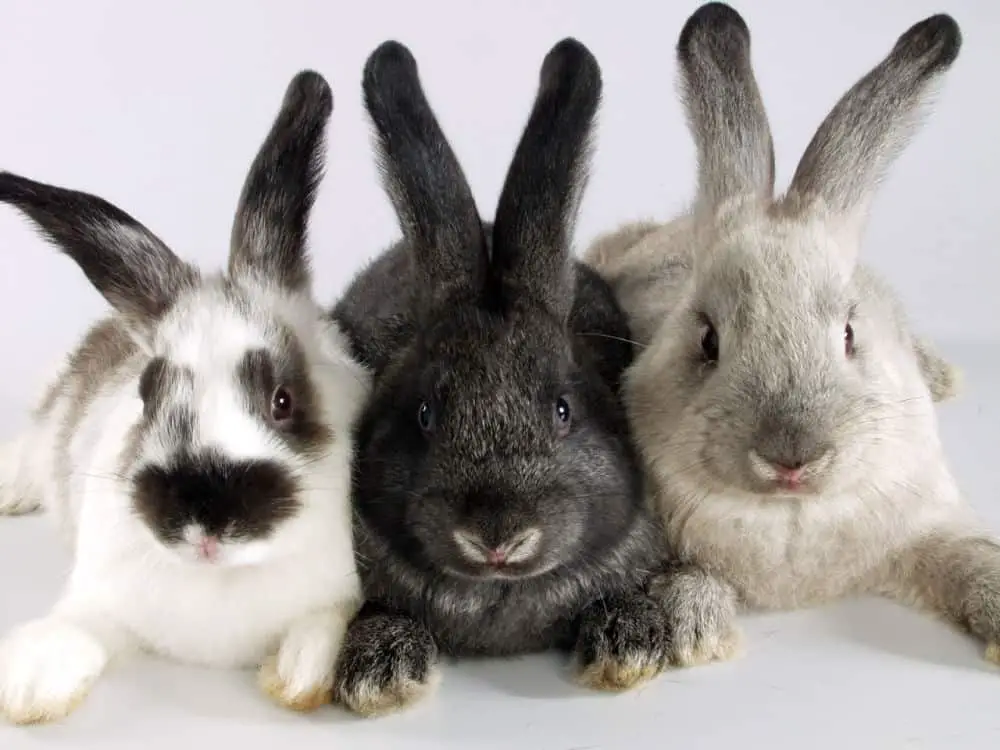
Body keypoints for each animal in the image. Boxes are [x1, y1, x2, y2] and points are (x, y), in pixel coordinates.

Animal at [0, 69, 372, 724]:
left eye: (283, 400)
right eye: (148, 395)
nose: (203, 522)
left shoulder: (343, 594)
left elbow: (322, 627)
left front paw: (299, 673)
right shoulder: (100, 594)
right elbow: (78, 628)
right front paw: (30, 687)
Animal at [584, 1, 1000, 668]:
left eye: (850, 333)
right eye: (708, 341)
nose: (791, 457)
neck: (790, 516)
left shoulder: (927, 519)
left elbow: (968, 557)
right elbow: (687, 575)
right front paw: (690, 628)